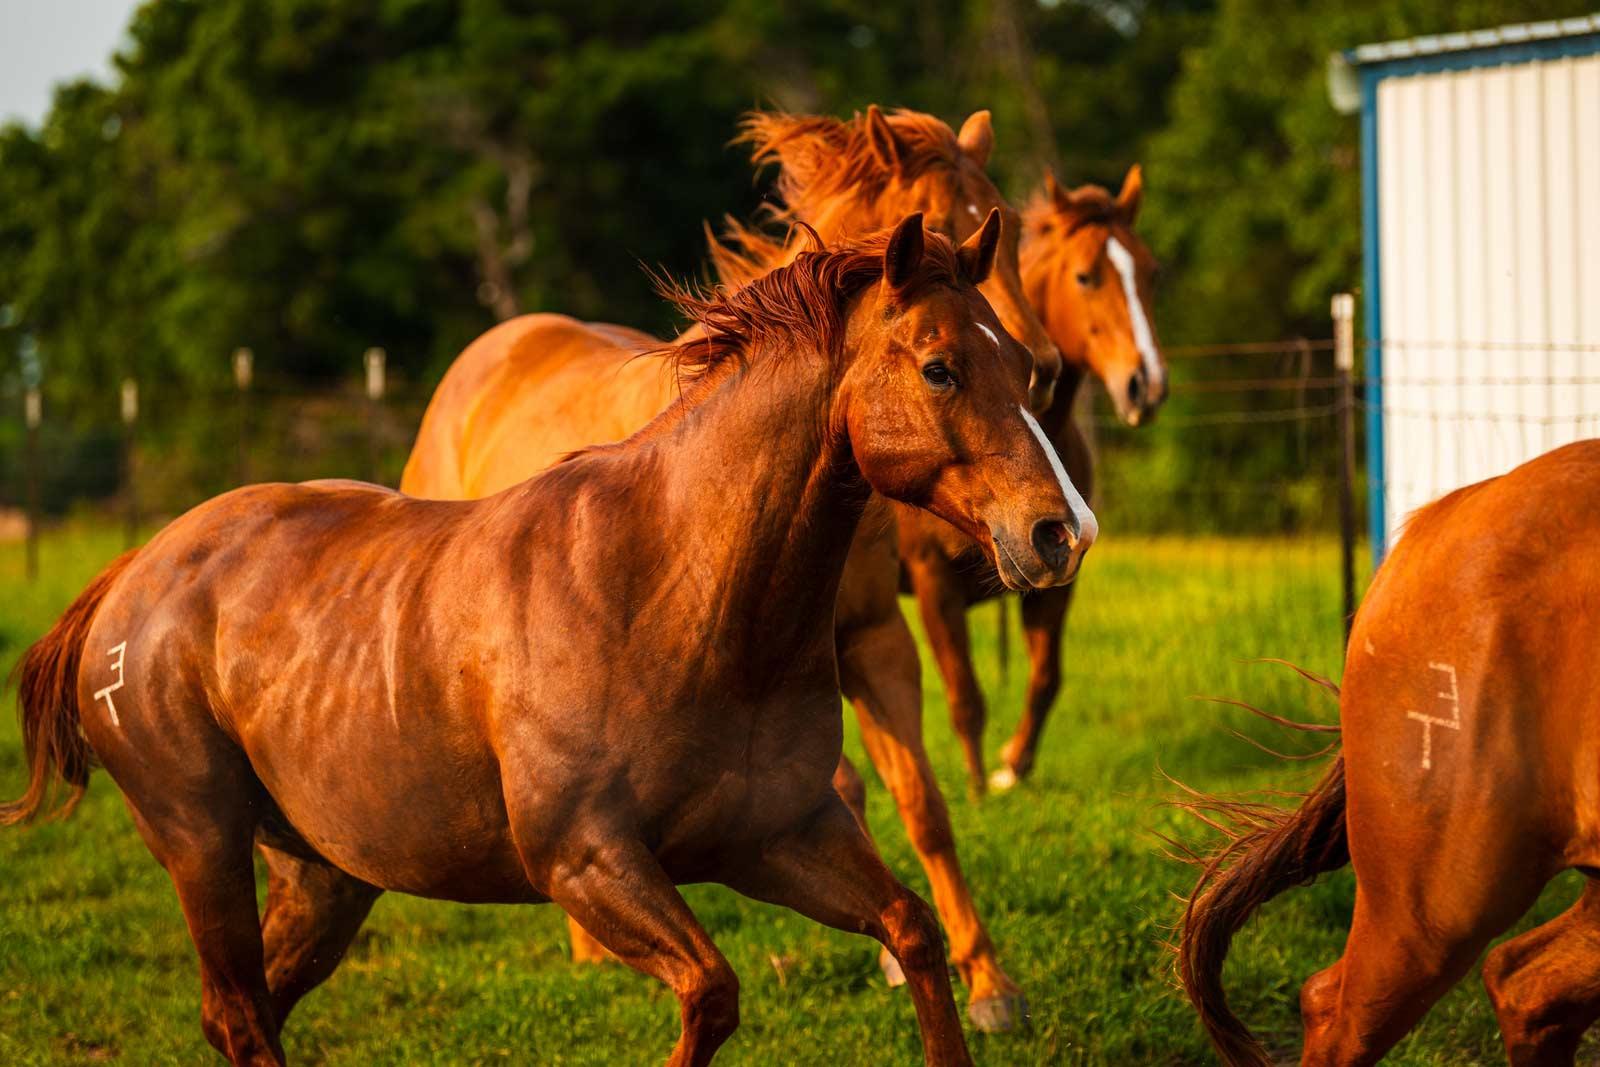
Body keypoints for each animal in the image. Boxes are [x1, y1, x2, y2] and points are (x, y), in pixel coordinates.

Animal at [0, 219, 1094, 1067]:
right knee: (237, 1009)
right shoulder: (587, 859)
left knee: (250, 1008)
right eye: (940, 367)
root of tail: (132, 575)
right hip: (204, 847)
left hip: (325, 875)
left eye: (1024, 365)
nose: (1061, 532)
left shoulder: (776, 835)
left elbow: (911, 930)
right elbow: (712, 990)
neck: (672, 586)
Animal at [400, 106, 1088, 1036]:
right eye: (943, 220)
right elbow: (851, 791)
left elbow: (923, 804)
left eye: (1002, 223)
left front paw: (985, 977)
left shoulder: (875, 639)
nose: (1045, 368)